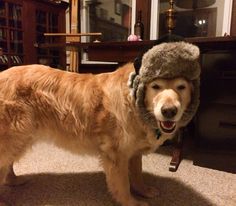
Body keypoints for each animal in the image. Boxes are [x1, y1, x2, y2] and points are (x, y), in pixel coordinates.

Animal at [0, 42, 201, 206]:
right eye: (155, 86)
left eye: (181, 87)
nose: (169, 111)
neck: (132, 99)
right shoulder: (117, 155)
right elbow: (123, 185)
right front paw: (131, 202)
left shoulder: (134, 152)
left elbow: (137, 175)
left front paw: (144, 191)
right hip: (13, 139)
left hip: (18, 140)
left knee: (8, 167)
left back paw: (14, 181)